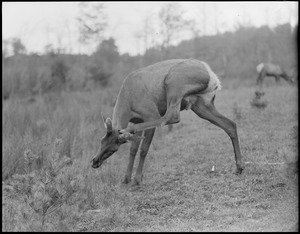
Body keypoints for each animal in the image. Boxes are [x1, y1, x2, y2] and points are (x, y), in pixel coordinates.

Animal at [91, 59, 244, 186]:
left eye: (114, 149)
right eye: (101, 141)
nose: (94, 162)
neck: (128, 99)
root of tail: (212, 76)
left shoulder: (149, 115)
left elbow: (143, 149)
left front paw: (137, 180)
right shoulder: (137, 119)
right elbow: (133, 149)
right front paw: (126, 178)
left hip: (173, 83)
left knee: (171, 116)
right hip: (201, 105)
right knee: (230, 124)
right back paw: (239, 167)